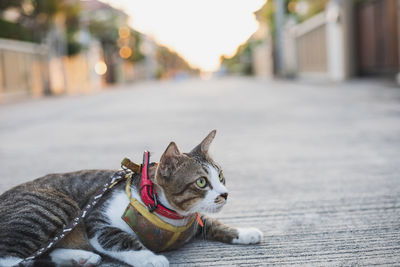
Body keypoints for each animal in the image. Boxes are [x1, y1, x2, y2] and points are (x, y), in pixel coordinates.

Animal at [0, 131, 264, 267]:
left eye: (220, 175)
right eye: (201, 182)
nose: (224, 194)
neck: (170, 215)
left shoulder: (194, 220)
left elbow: (213, 222)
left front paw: (244, 232)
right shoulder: (97, 219)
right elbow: (120, 239)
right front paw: (152, 259)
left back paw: (80, 257)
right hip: (51, 207)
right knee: (11, 258)